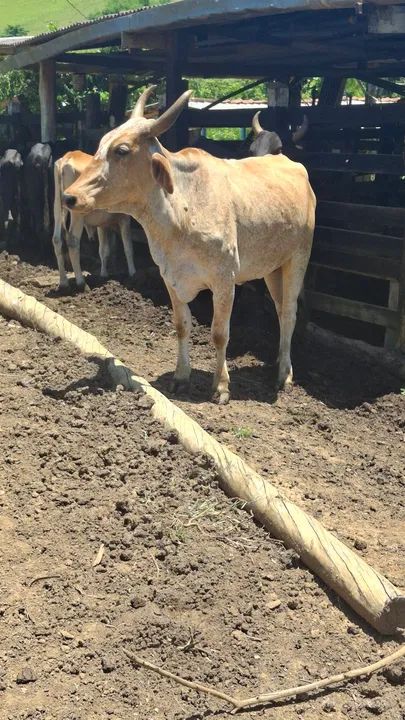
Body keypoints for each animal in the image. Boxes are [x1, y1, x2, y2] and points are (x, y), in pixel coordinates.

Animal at [53, 150, 135, 290]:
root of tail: (68, 157)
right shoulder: (124, 218)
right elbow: (128, 247)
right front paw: (133, 273)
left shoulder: (102, 224)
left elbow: (103, 250)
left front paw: (103, 274)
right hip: (77, 214)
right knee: (72, 241)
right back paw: (81, 283)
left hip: (58, 207)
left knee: (57, 239)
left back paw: (63, 283)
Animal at [63, 86, 316, 404]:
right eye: (100, 146)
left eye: (122, 150)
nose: (69, 196)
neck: (180, 211)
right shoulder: (170, 277)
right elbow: (182, 326)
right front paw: (181, 377)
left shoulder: (224, 280)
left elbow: (220, 333)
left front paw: (221, 386)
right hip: (272, 267)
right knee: (281, 310)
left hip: (297, 258)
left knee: (289, 312)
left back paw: (284, 374)